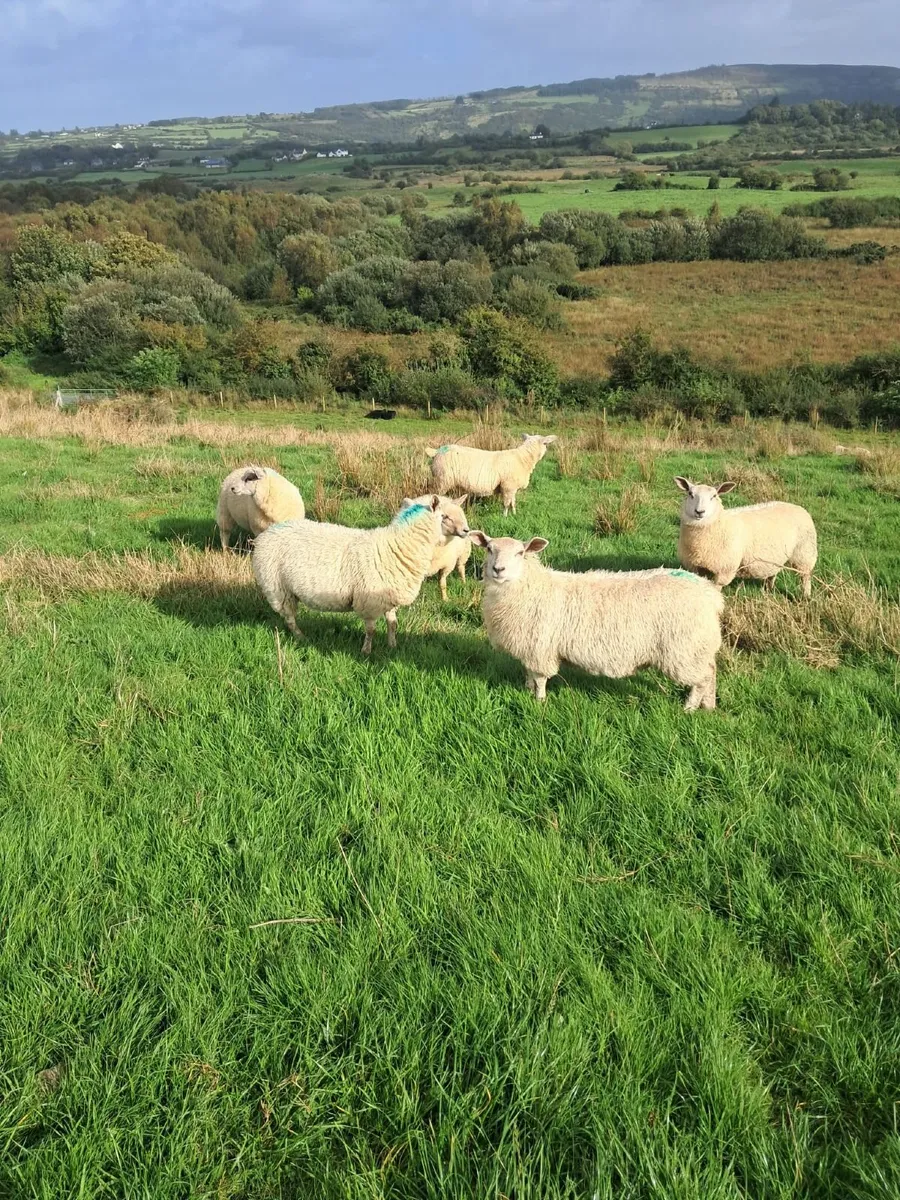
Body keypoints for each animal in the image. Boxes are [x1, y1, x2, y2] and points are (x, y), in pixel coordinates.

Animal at [252, 496, 466, 655]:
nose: (466, 531)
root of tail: (266, 534)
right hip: (278, 588)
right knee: (289, 618)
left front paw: (392, 646)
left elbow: (393, 624)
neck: (395, 546)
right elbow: (371, 630)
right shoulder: (369, 601)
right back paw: (301, 637)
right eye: (445, 516)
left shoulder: (389, 598)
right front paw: (366, 651)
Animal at [425, 434, 557, 515]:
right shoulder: (507, 486)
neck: (523, 458)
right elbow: (506, 504)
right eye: (545, 444)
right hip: (441, 480)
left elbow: (513, 503)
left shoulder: (512, 488)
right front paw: (505, 516)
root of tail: (436, 451)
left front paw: (514, 514)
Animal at [469, 532, 723, 711]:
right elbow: (529, 674)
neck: (531, 588)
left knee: (702, 679)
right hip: (696, 648)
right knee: (711, 672)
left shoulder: (541, 648)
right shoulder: (530, 648)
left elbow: (540, 678)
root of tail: (709, 593)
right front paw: (527, 690)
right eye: (489, 549)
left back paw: (689, 708)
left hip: (684, 650)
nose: (498, 569)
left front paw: (539, 702)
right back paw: (708, 706)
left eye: (520, 553)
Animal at [674, 478, 817, 598]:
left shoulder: (724, 569)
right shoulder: (695, 567)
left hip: (804, 553)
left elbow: (717, 588)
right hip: (776, 556)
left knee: (805, 576)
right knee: (773, 573)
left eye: (714, 496)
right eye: (690, 494)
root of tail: (798, 507)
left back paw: (805, 596)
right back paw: (769, 590)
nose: (699, 512)